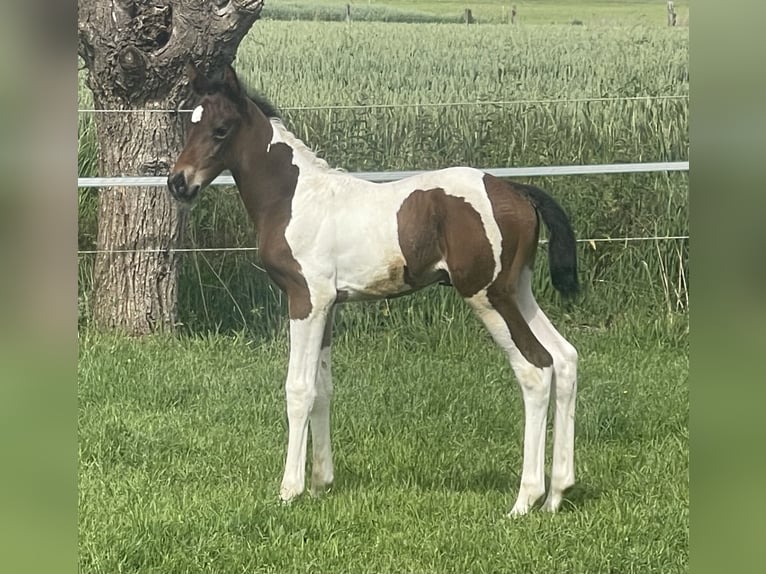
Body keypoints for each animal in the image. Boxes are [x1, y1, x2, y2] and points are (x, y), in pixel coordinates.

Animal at [168, 63, 579, 516]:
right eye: (189, 123)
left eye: (220, 129)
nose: (178, 182)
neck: (294, 197)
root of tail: (520, 192)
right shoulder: (330, 305)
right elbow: (323, 389)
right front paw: (321, 483)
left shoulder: (306, 300)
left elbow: (299, 389)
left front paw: (290, 489)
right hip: (518, 291)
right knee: (565, 358)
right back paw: (558, 492)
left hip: (487, 296)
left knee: (536, 370)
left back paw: (526, 499)